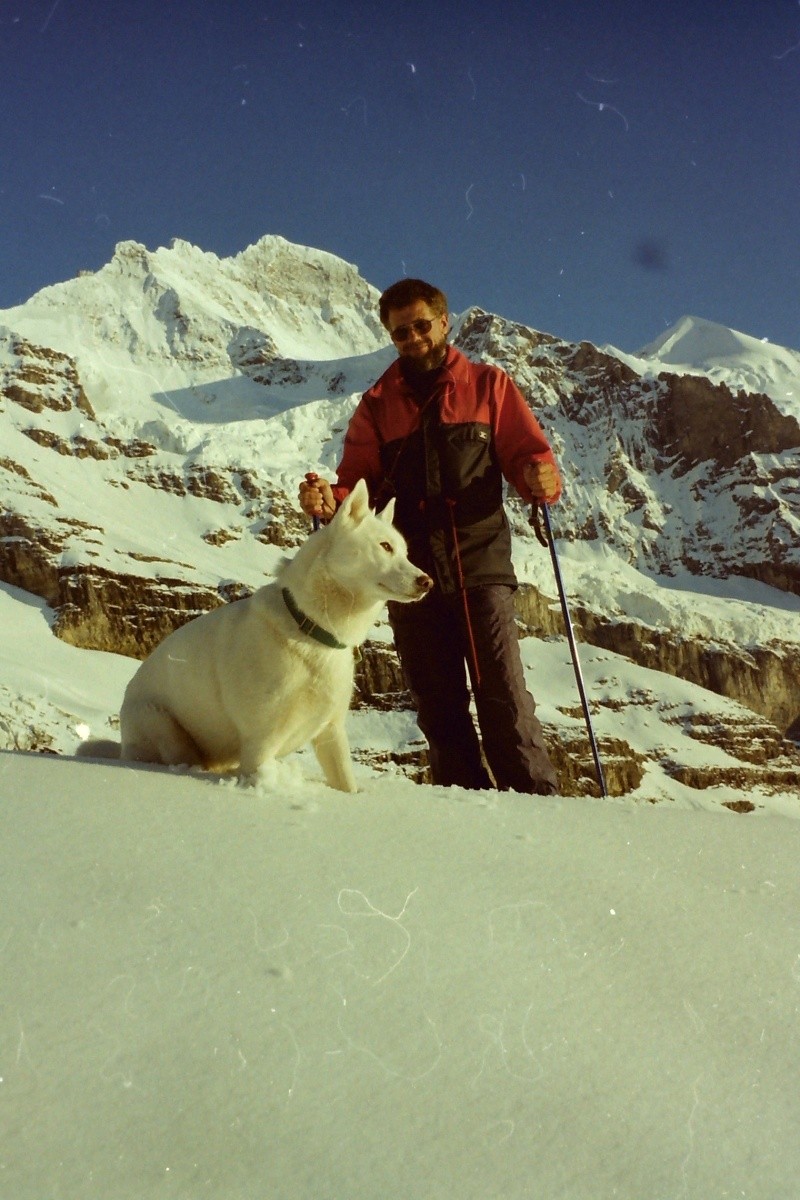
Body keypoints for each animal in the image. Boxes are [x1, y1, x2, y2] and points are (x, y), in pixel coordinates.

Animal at [76, 482, 431, 792]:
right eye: (385, 546)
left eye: (404, 551)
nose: (426, 581)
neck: (308, 628)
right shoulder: (260, 741)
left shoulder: (331, 732)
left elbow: (346, 783)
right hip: (163, 726)